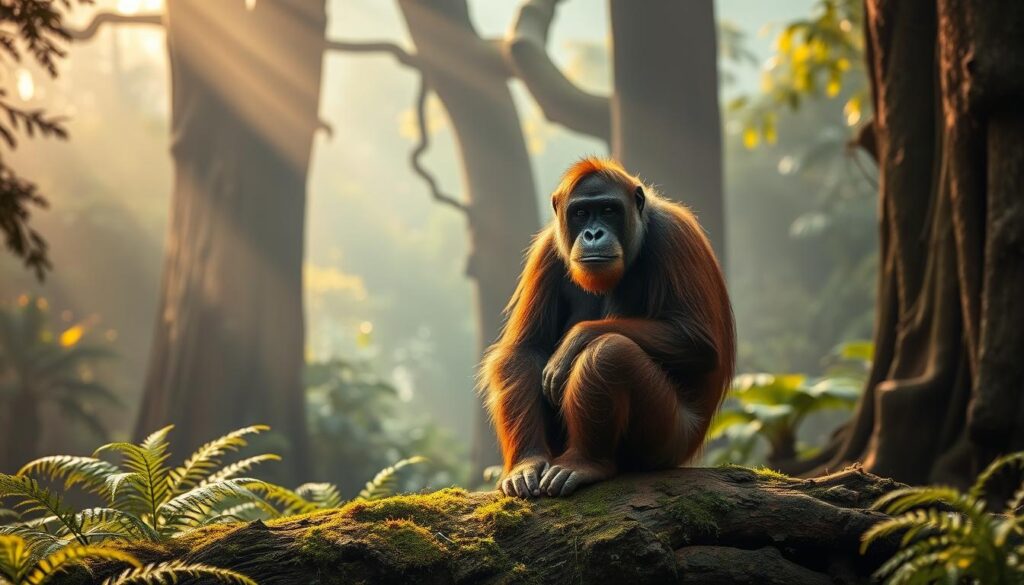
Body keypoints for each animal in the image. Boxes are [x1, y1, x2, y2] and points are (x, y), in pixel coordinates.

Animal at [480, 157, 734, 498]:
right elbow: (525, 349)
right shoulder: (547, 248)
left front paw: (576, 340)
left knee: (610, 352)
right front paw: (526, 464)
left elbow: (697, 341)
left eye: (609, 210)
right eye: (581, 213)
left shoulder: (675, 235)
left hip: (672, 438)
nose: (592, 233)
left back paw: (585, 464)